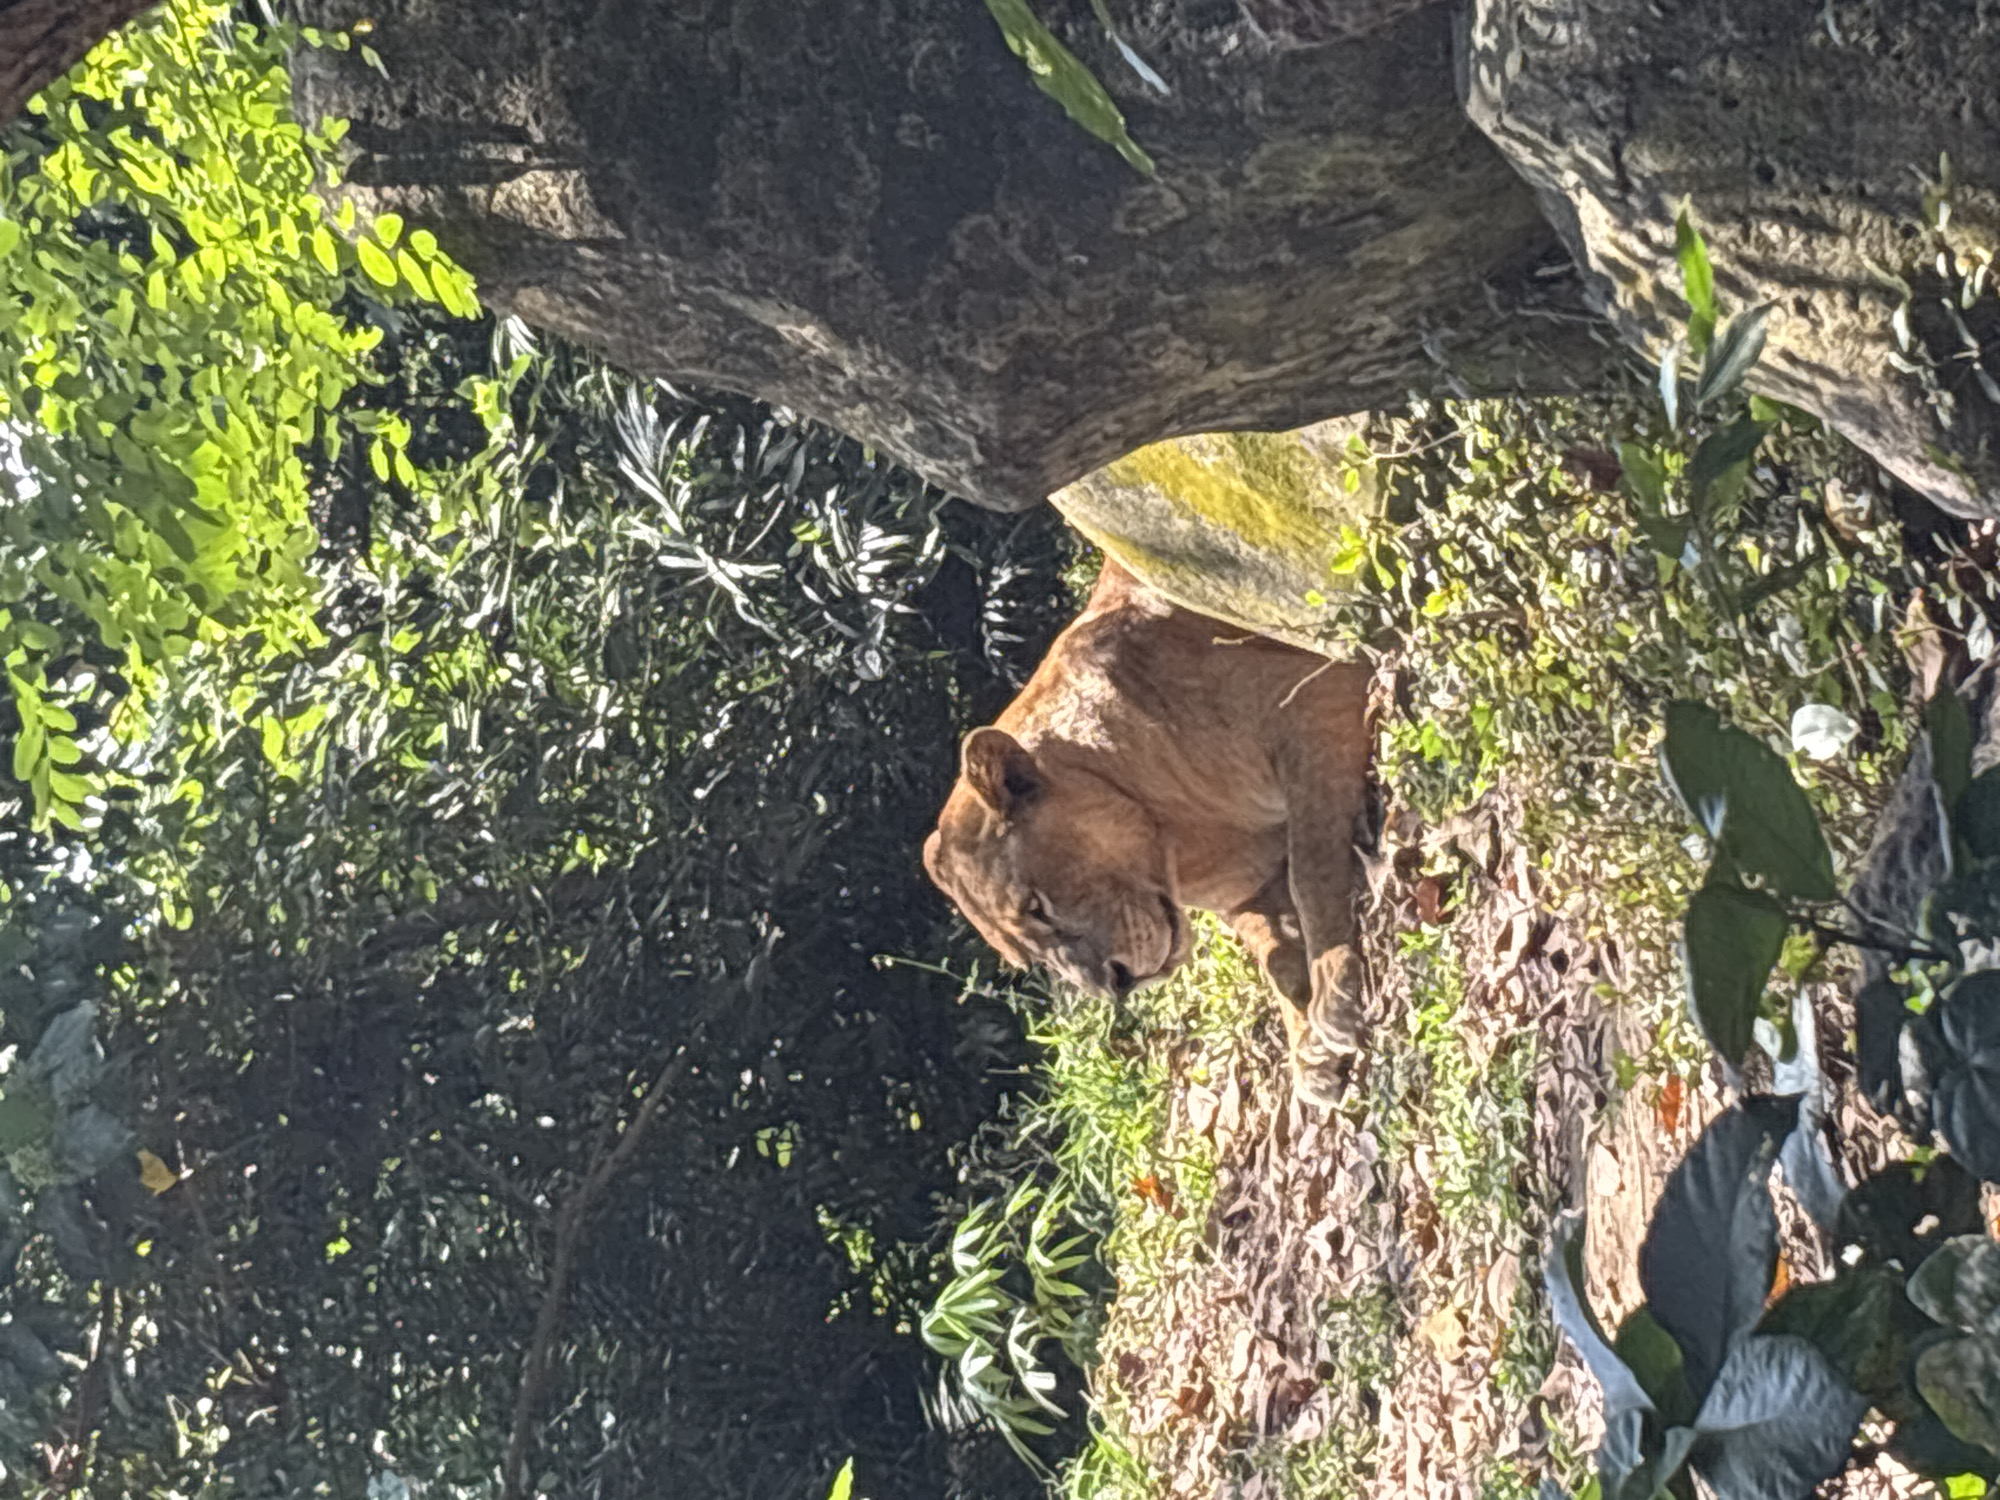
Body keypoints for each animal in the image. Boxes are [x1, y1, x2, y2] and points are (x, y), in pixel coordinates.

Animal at [922, 558, 1375, 1107]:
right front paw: (1310, 1054)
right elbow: (1276, 959)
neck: (1181, 833)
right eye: (1026, 955)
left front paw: (1334, 998)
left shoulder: (1318, 693)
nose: (1115, 986)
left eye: (1037, 907)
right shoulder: (1246, 889)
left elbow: (1311, 873)